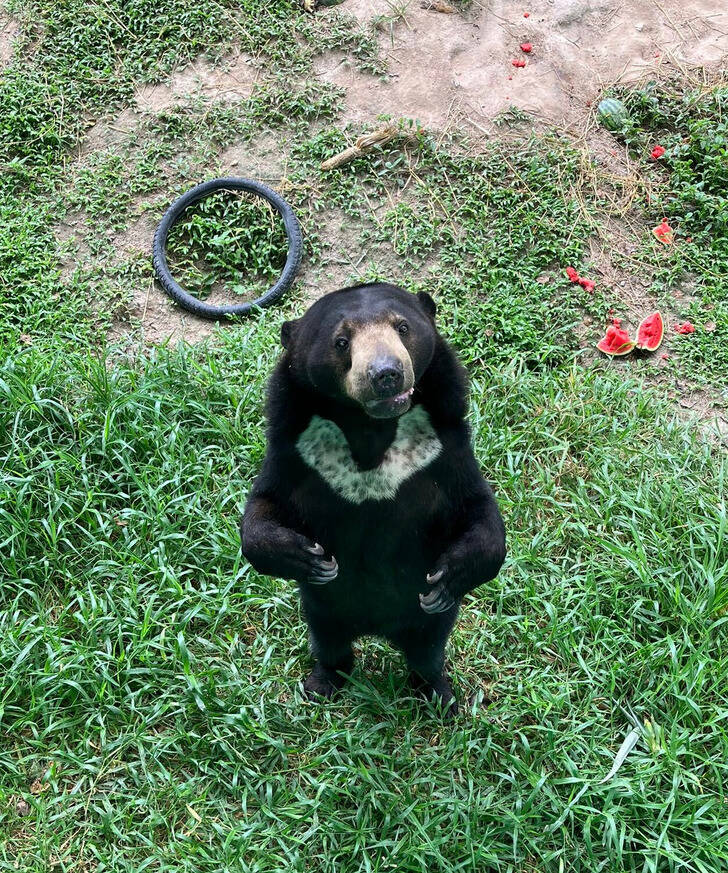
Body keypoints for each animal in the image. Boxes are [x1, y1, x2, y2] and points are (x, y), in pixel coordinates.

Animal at [240, 282, 506, 712]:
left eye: (403, 327)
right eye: (341, 341)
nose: (386, 375)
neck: (369, 427)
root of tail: (377, 629)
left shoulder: (446, 448)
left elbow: (476, 508)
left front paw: (448, 575)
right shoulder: (293, 449)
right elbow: (265, 506)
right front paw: (308, 558)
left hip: (424, 624)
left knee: (428, 651)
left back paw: (438, 695)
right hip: (324, 609)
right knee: (330, 643)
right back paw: (322, 684)